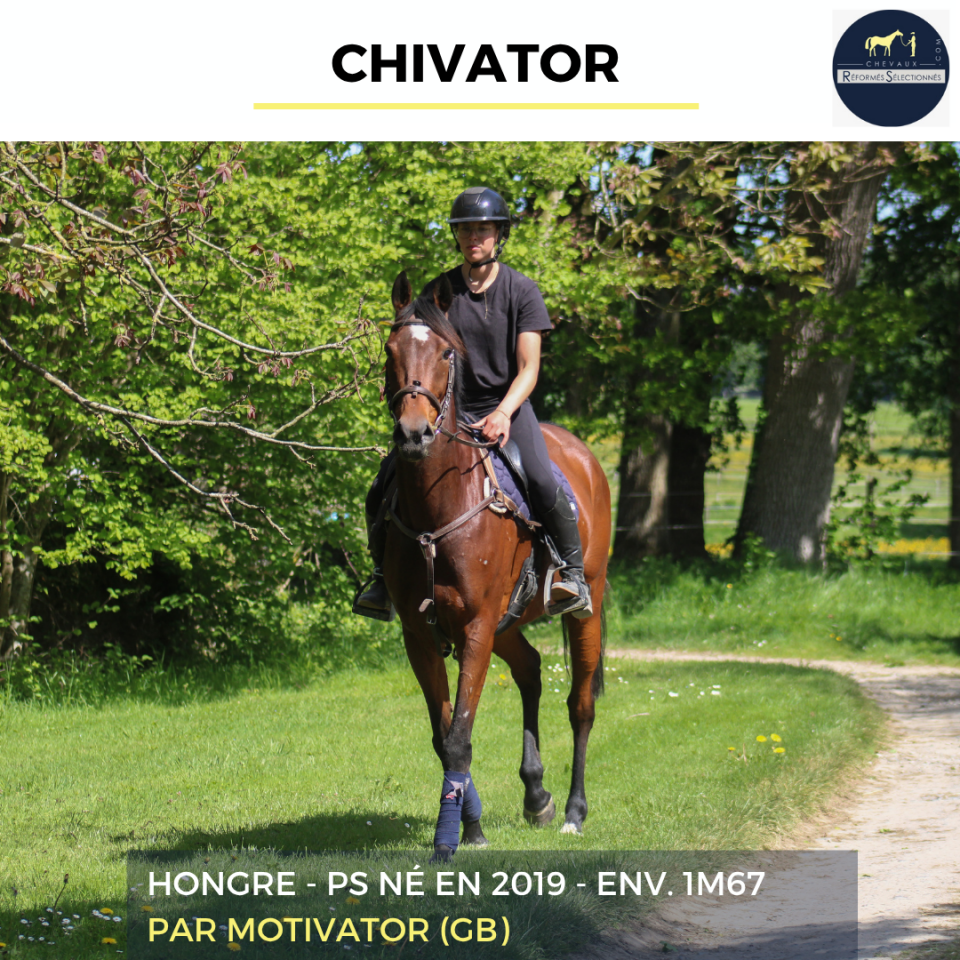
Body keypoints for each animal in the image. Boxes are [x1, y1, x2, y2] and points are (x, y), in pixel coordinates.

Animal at [381, 271, 611, 859]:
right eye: (390, 350)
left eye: (445, 352)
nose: (413, 433)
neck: (439, 509)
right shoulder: (422, 633)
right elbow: (444, 739)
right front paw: (471, 823)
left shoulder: (478, 628)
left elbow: (461, 735)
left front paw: (455, 837)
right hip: (508, 622)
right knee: (529, 669)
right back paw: (537, 795)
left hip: (586, 607)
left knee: (581, 705)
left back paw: (574, 811)